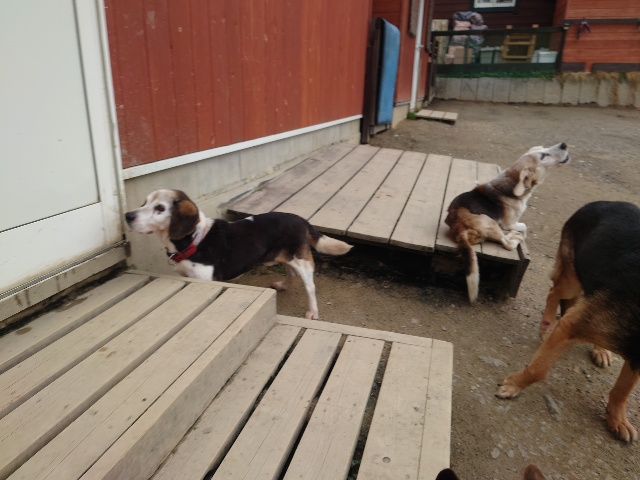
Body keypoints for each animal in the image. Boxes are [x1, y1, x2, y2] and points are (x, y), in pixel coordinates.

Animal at [124, 189, 352, 320]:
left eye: (160, 208)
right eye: (144, 202)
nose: (127, 215)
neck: (195, 239)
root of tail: (301, 219)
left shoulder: (207, 282)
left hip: (302, 261)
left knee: (310, 286)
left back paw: (313, 311)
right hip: (286, 257)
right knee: (291, 273)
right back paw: (283, 285)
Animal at [445, 142, 570, 302]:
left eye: (543, 148)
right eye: (543, 156)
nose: (564, 144)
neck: (510, 185)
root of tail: (458, 228)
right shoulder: (510, 223)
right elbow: (524, 226)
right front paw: (522, 234)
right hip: (489, 221)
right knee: (508, 243)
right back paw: (515, 237)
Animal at [497, 201, 640, 442]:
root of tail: (602, 202)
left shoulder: (636, 358)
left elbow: (622, 390)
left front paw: (617, 419)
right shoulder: (569, 326)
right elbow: (538, 369)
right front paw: (515, 384)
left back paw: (601, 350)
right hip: (572, 281)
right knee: (554, 292)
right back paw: (546, 325)